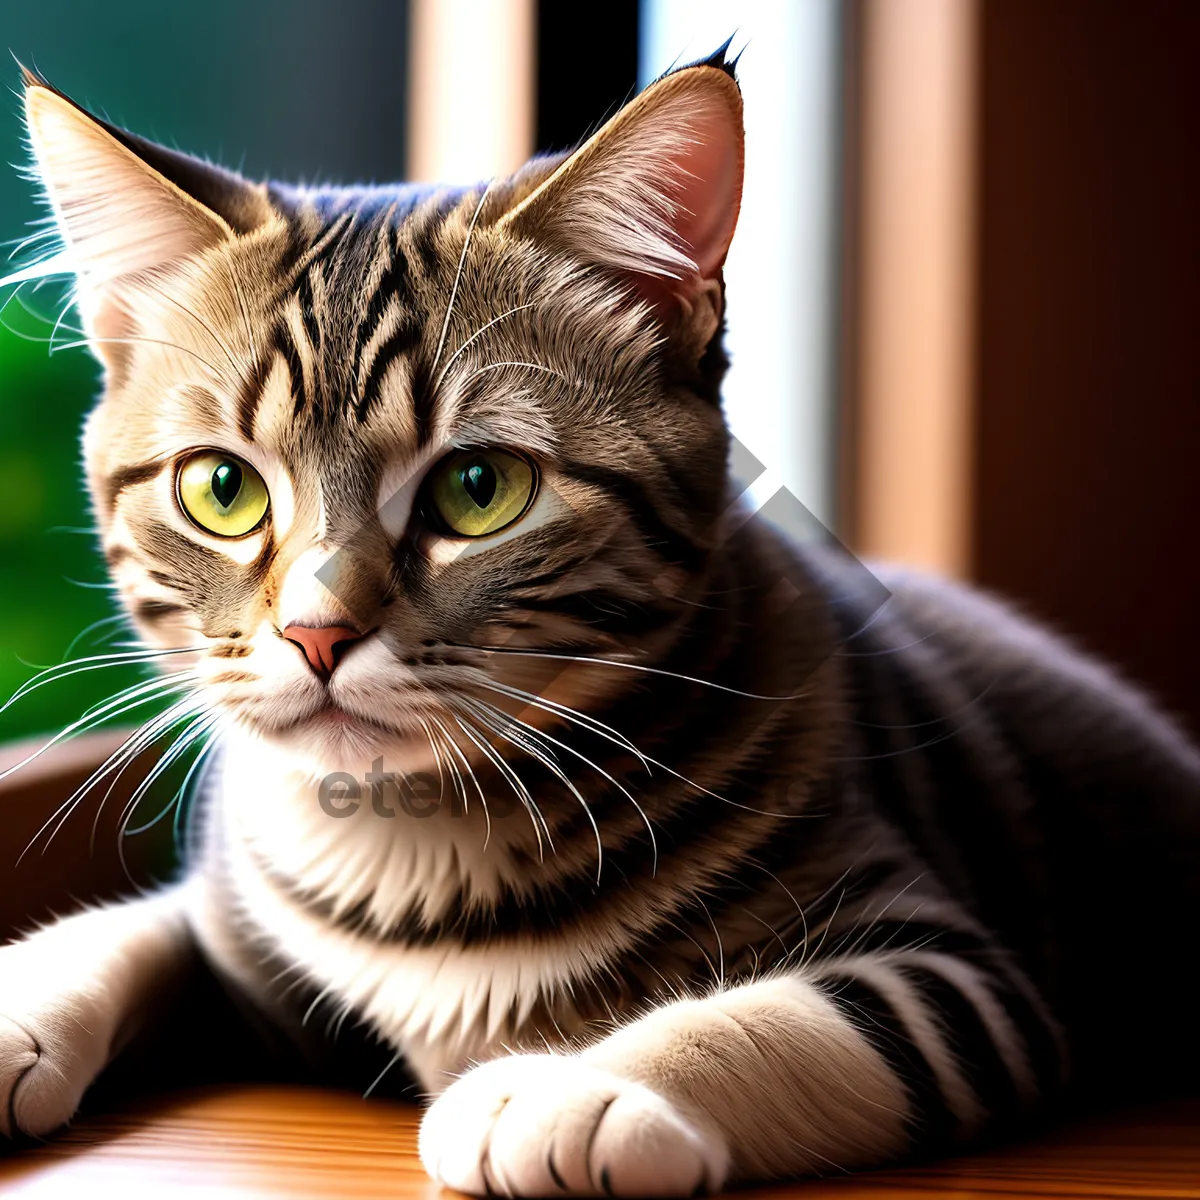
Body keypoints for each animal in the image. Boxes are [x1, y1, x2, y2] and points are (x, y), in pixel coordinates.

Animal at [2, 44, 1200, 1190]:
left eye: (479, 487)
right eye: (223, 490)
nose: (317, 633)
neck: (415, 845)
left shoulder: (955, 977)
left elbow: (801, 1016)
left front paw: (581, 1086)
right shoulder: (242, 941)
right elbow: (132, 928)